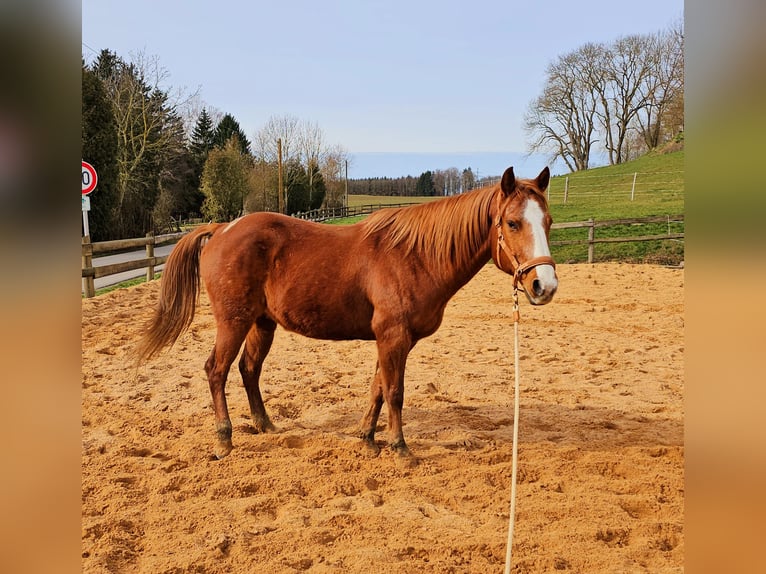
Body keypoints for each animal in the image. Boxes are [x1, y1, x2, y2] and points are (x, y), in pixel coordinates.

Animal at [136, 166, 560, 464]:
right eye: (512, 223)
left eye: (548, 222)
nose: (545, 285)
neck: (415, 256)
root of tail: (222, 227)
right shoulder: (394, 336)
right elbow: (395, 391)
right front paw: (400, 448)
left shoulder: (393, 339)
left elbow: (377, 388)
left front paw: (368, 439)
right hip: (233, 322)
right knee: (217, 370)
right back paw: (224, 438)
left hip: (261, 323)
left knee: (248, 370)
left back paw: (265, 425)